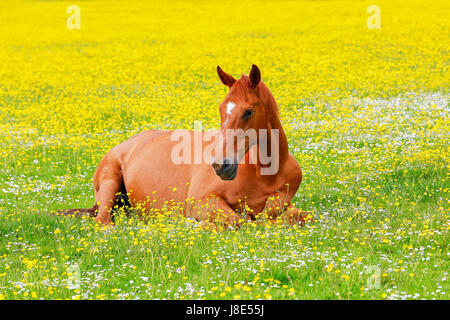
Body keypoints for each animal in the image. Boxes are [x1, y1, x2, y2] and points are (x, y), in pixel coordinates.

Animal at [58, 65, 308, 229]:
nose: (221, 166)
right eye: (221, 109)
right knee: (103, 221)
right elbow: (241, 221)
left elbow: (297, 215)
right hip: (110, 182)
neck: (262, 172)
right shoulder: (201, 202)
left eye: (248, 111)